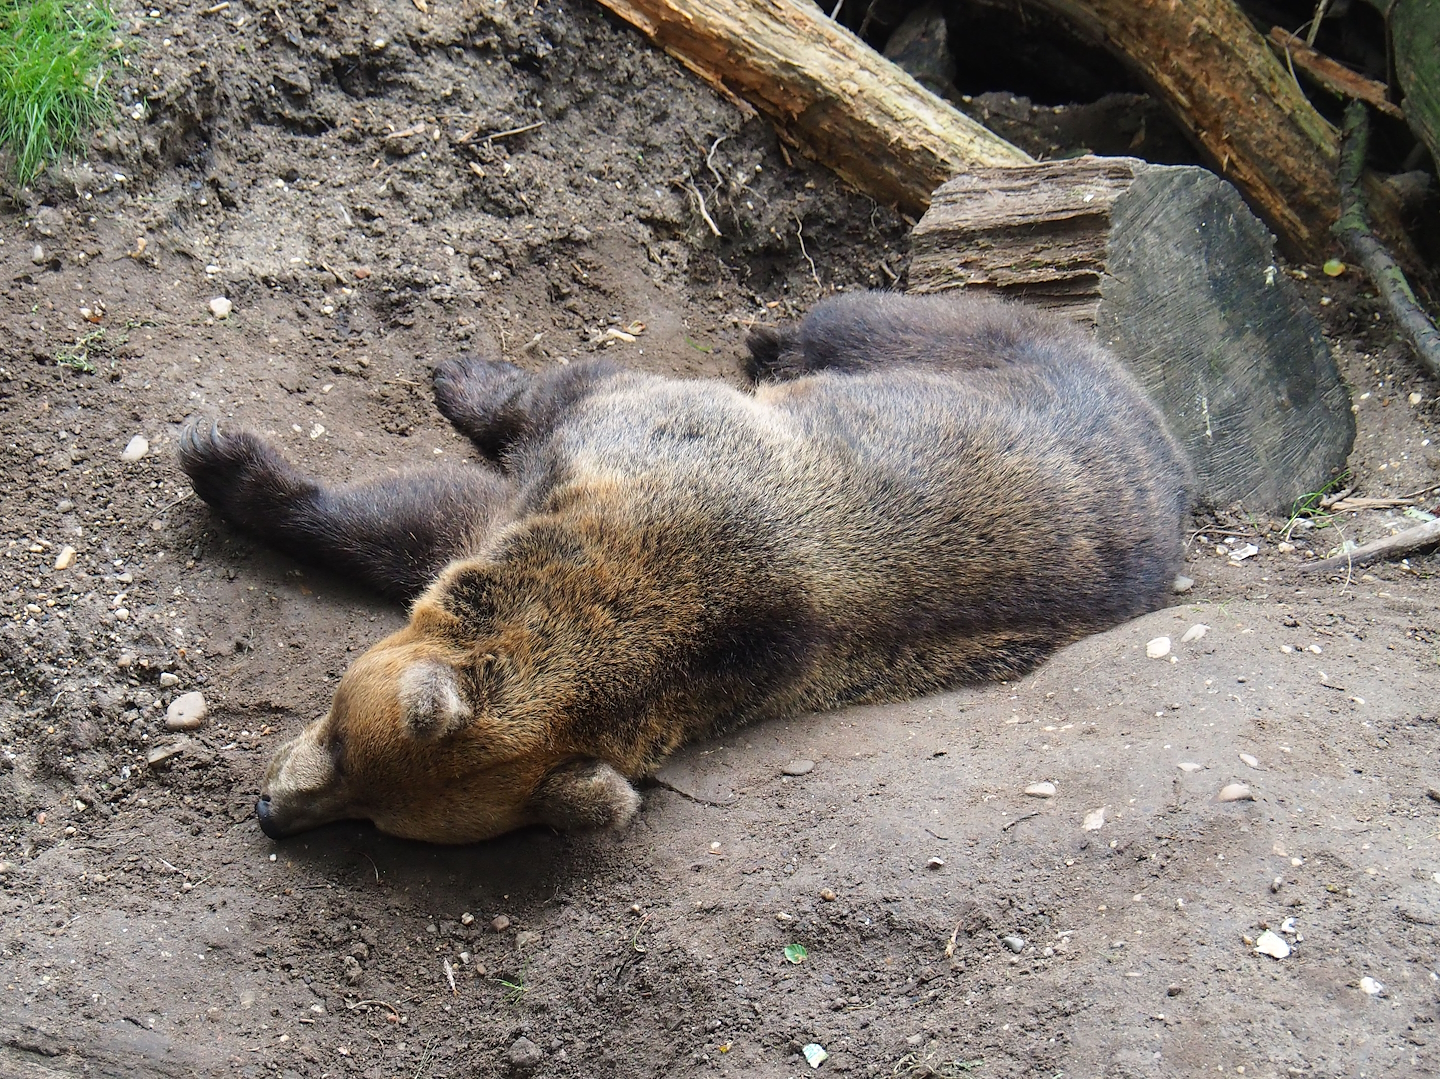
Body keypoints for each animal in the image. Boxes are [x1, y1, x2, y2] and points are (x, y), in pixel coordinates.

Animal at [177, 290, 1194, 843]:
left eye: (377, 811)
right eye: (344, 741)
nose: (269, 810)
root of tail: (1163, 428)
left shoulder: (620, 469)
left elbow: (438, 498)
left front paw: (224, 460)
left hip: (979, 352)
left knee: (851, 318)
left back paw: (772, 338)